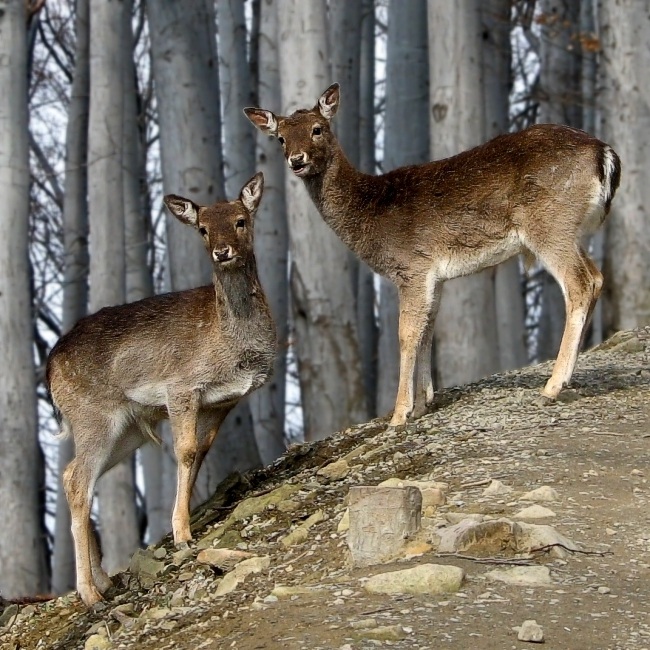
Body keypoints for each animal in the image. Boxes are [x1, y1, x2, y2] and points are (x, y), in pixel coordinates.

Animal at [46, 171, 276, 604]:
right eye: (202, 229)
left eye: (240, 220)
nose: (222, 252)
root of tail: (50, 364)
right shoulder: (181, 388)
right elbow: (184, 452)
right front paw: (183, 534)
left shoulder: (222, 403)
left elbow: (199, 453)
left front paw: (181, 525)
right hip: (92, 417)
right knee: (77, 480)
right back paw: (89, 594)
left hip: (127, 431)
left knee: (74, 476)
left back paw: (104, 581)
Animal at [246, 83, 620, 428]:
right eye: (280, 139)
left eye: (317, 128)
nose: (297, 160)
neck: (371, 212)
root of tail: (604, 154)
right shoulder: (432, 275)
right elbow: (428, 328)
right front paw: (425, 402)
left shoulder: (411, 266)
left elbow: (406, 333)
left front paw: (399, 414)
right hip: (570, 230)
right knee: (597, 277)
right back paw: (568, 377)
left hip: (549, 225)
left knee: (580, 283)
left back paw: (552, 386)